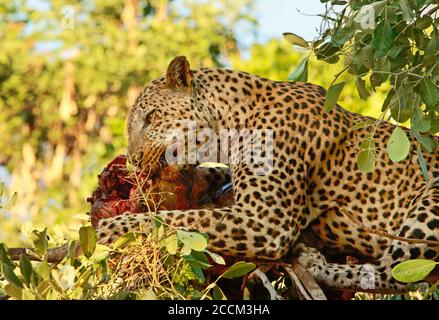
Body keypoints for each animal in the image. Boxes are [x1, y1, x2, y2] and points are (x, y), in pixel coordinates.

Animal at [97, 55, 439, 292]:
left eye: (151, 117)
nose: (134, 161)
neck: (229, 125)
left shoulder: (267, 219)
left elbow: (180, 221)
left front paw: (108, 230)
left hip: (429, 201)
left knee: (393, 273)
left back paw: (317, 265)